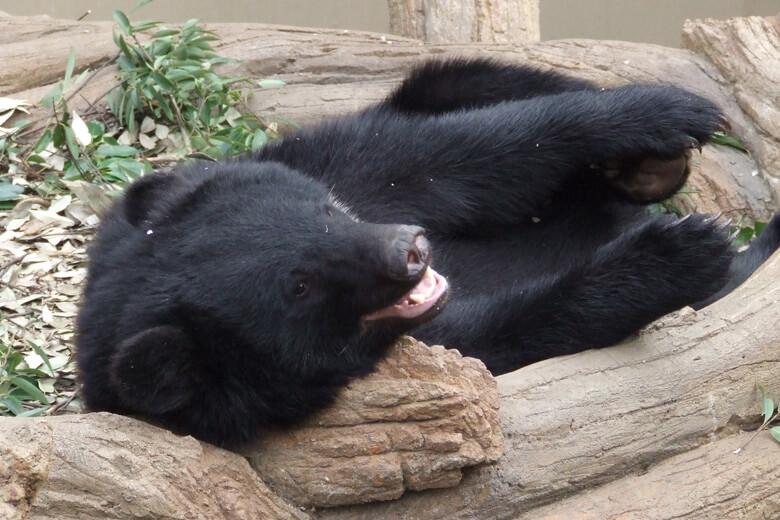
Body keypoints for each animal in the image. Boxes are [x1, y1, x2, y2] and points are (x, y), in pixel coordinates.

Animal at [77, 58, 780, 446]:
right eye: (300, 288)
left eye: (321, 210)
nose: (411, 249)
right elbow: (505, 330)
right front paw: (685, 248)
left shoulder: (346, 164)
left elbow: (462, 156)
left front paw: (670, 113)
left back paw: (648, 171)